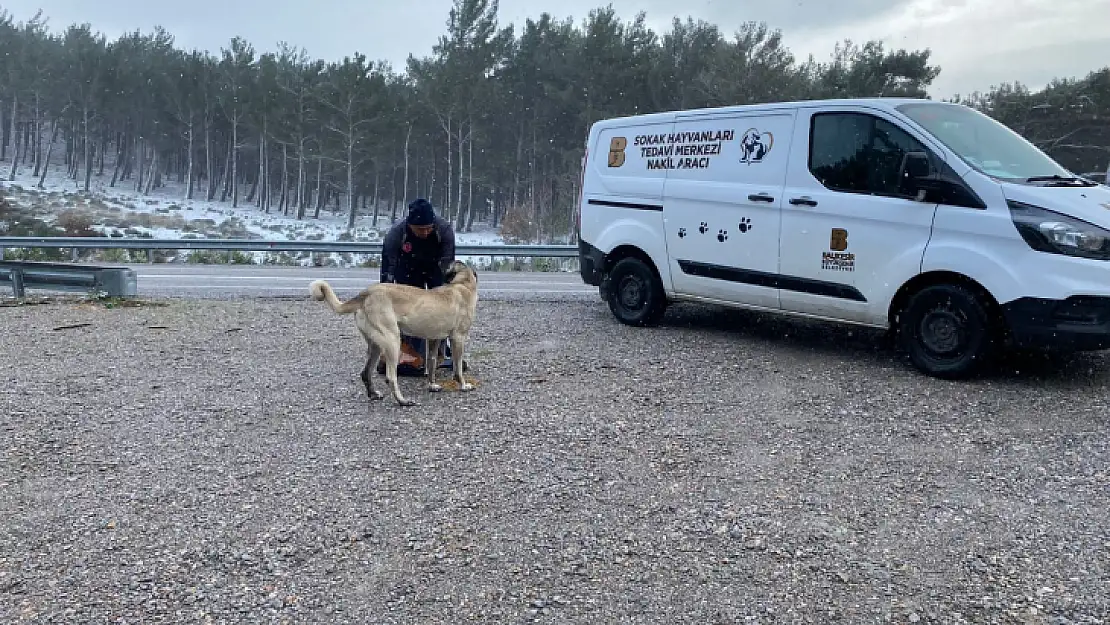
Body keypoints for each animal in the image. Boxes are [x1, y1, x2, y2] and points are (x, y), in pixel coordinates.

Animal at [308, 259, 477, 406]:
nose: (440, 261)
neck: (462, 284)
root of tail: (367, 293)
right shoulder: (458, 338)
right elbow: (457, 368)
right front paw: (463, 385)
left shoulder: (434, 340)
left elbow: (432, 362)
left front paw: (432, 385)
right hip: (393, 341)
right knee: (390, 377)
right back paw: (402, 401)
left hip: (376, 345)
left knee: (365, 372)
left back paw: (374, 394)